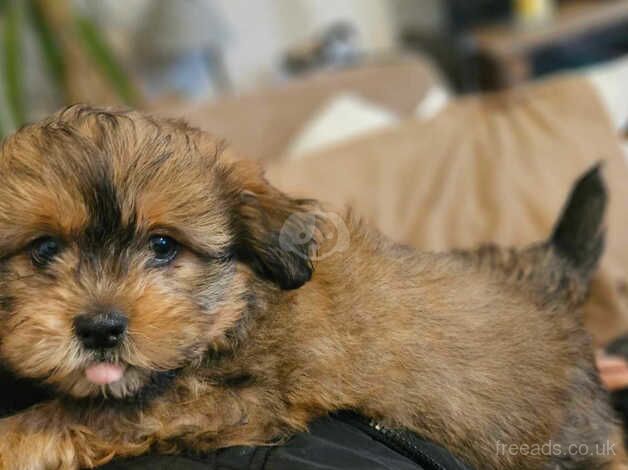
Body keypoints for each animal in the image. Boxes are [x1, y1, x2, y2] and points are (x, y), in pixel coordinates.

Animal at [0, 104, 624, 468]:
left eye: (162, 245)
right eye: (43, 249)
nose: (99, 328)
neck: (242, 304)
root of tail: (549, 278)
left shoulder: (242, 402)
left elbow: (98, 413)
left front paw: (14, 438)